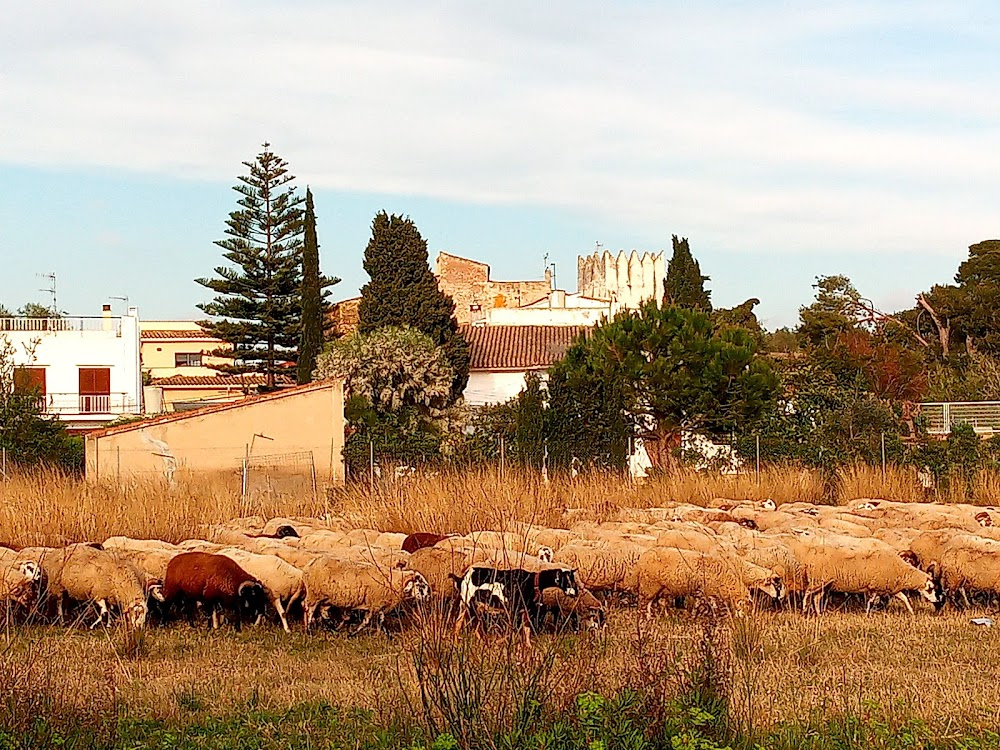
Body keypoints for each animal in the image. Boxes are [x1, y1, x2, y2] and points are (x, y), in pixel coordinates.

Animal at [302, 560, 432, 636]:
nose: (428, 597)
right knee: (309, 610)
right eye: (421, 585)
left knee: (323, 611)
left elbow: (381, 620)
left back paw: (333, 627)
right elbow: (366, 621)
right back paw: (308, 630)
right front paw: (353, 633)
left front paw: (383, 634)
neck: (395, 582)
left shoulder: (380, 605)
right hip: (314, 595)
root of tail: (309, 565)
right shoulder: (374, 604)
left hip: (327, 598)